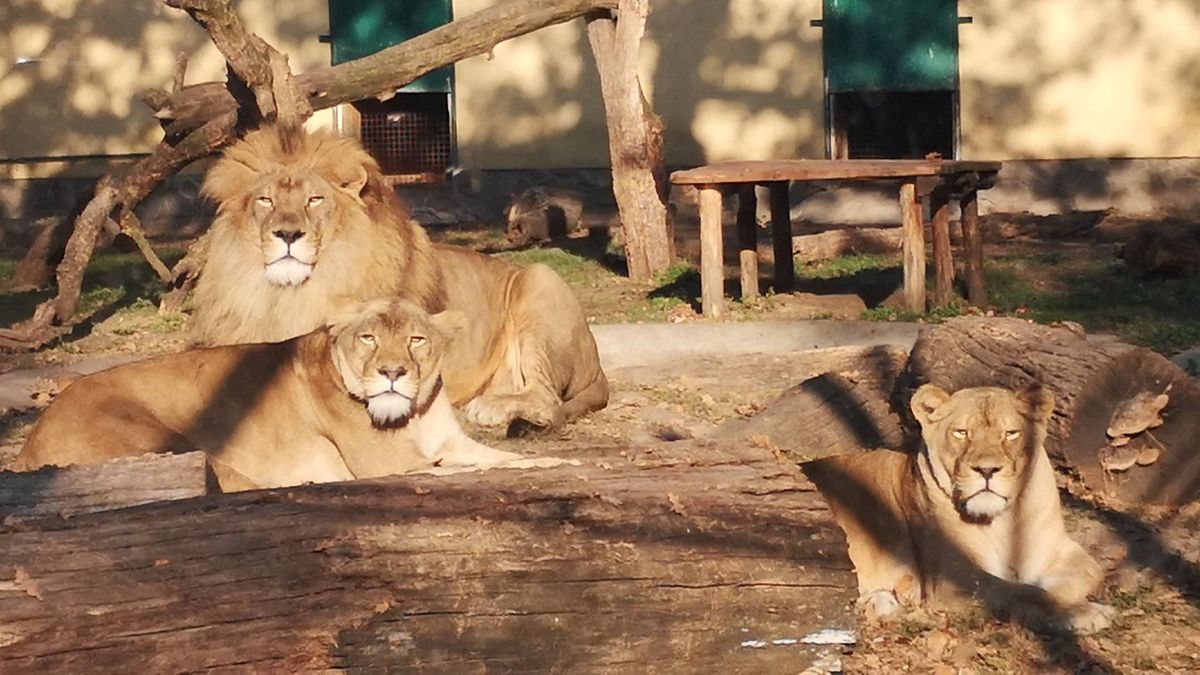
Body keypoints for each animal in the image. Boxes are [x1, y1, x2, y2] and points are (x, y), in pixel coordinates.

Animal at [11, 299, 540, 487]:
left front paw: (549, 462)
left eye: (416, 339)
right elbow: (466, 467)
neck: (416, 413)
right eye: (368, 338)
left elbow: (501, 458)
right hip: (181, 446)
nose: (392, 372)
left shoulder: (452, 442)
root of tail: (30, 440)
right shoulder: (389, 466)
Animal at [194, 123, 609, 432]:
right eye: (265, 201)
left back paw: (491, 408)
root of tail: (598, 368)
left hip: (539, 280)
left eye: (315, 200)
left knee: (547, 398)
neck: (288, 295)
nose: (287, 234)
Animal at [806, 384, 1113, 629]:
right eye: (962, 433)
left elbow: (1090, 571)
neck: (1004, 522)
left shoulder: (1060, 549)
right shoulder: (953, 579)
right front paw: (1082, 612)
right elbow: (1021, 592)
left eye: (1011, 433)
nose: (987, 470)